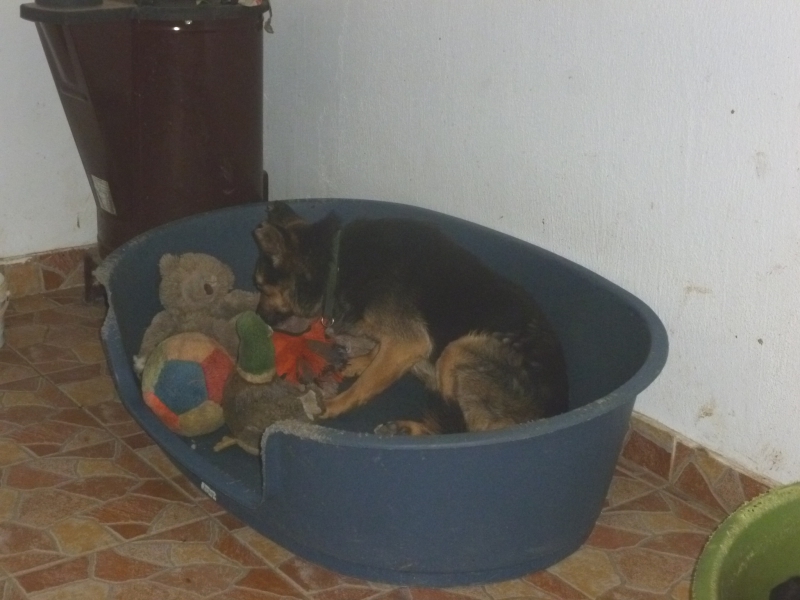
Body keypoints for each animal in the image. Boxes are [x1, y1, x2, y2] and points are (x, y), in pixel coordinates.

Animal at [252, 202, 569, 435]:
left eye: (261, 287)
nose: (258, 317)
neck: (335, 264)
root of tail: (551, 411)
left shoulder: (410, 342)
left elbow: (366, 384)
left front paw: (336, 403)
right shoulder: (399, 344)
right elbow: (377, 356)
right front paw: (360, 362)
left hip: (458, 350)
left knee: (464, 430)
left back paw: (409, 429)